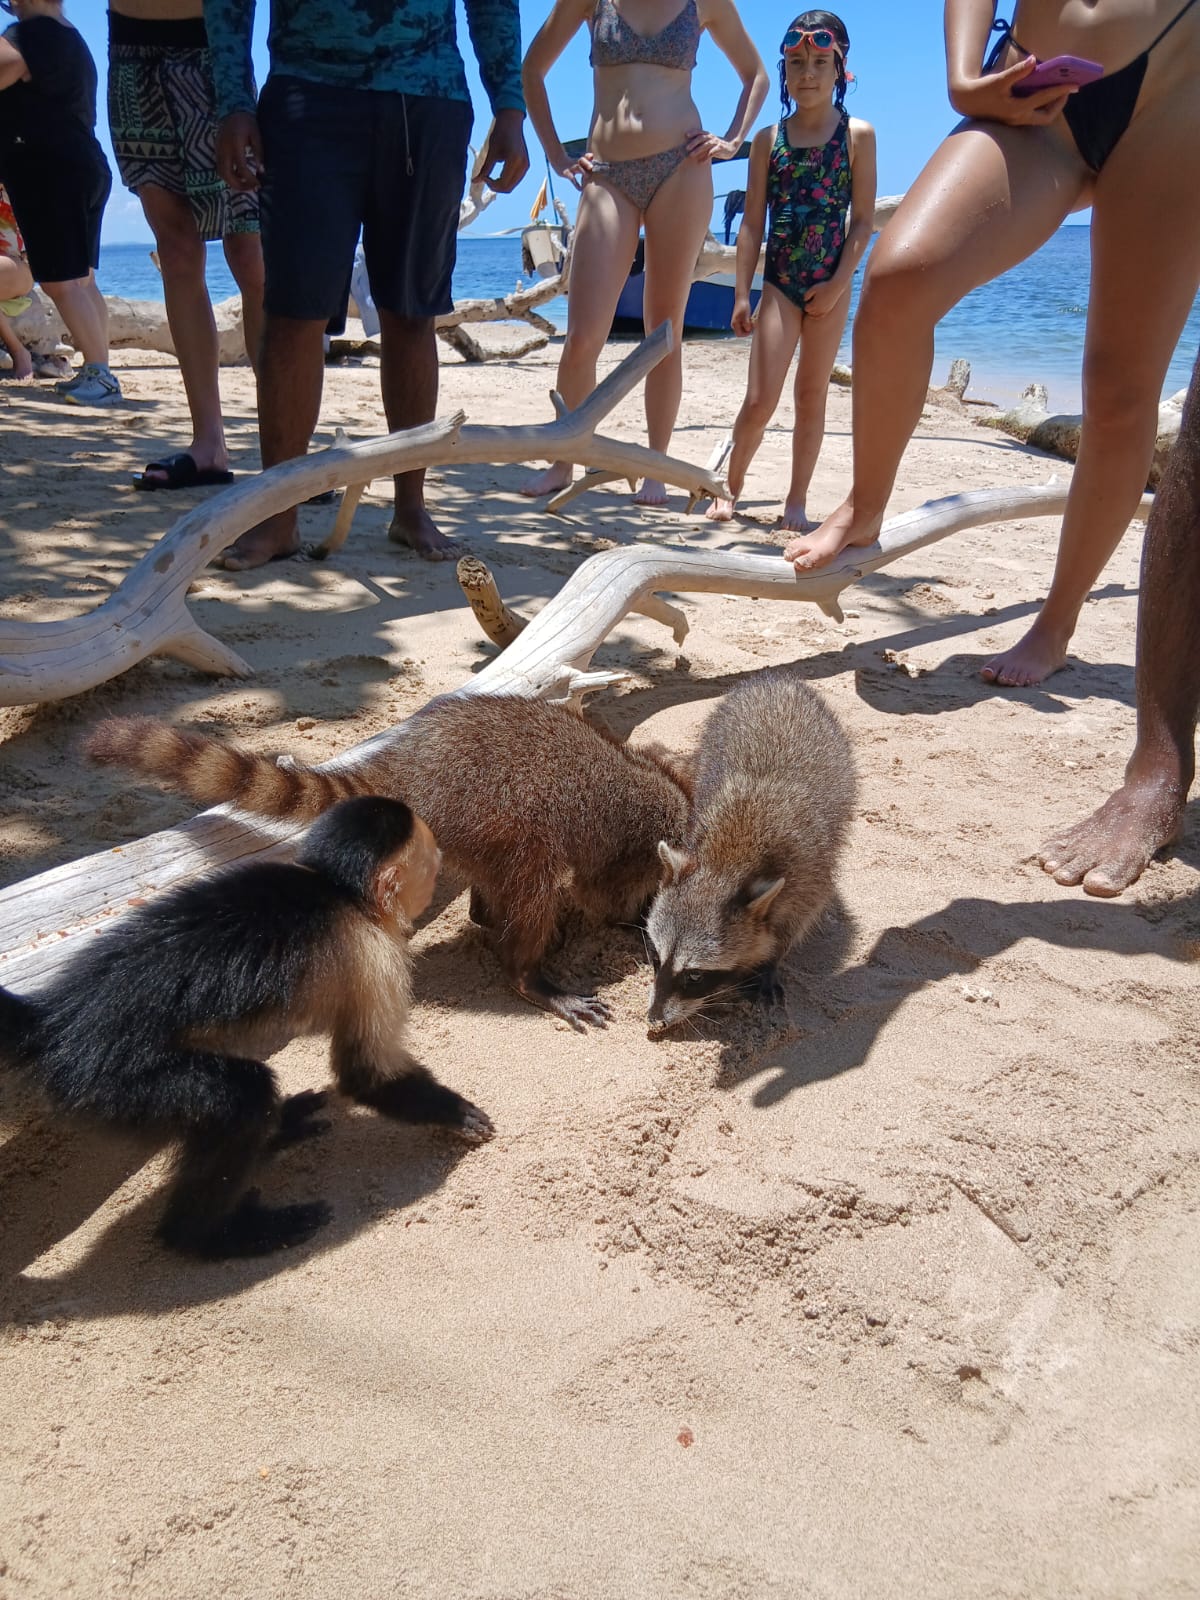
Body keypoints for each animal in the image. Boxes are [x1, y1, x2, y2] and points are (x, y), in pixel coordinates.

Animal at [0, 796, 493, 1259]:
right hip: (110, 1082)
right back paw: (212, 1235)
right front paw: (453, 1112)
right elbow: (367, 1073)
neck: (341, 893)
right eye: (432, 863)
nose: (443, 861)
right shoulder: (375, 954)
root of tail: (57, 1022)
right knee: (240, 1099)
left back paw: (277, 1131)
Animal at [85, 696, 692, 1032]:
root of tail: (409, 770)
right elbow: (600, 892)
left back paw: (485, 913)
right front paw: (627, 920)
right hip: (501, 815)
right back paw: (527, 970)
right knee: (534, 883)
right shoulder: (627, 851)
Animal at [644, 670, 857, 1036]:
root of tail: (775, 679)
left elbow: (796, 920)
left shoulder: (807, 873)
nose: (655, 1019)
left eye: (695, 975)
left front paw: (772, 961)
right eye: (657, 958)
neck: (727, 860)